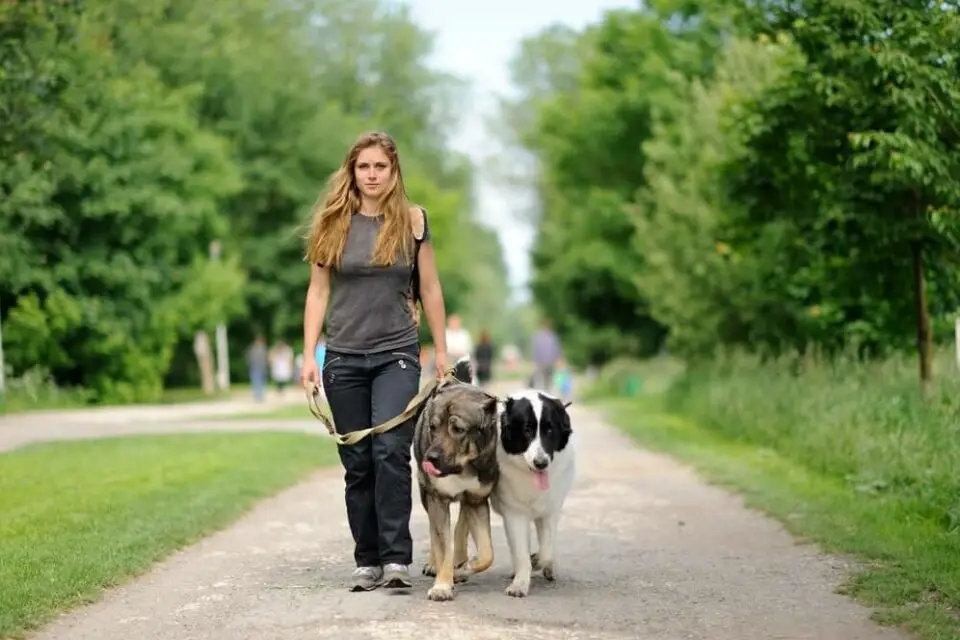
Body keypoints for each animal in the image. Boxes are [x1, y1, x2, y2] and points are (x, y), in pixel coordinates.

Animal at [414, 360, 502, 600]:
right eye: (433, 427)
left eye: (458, 429)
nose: (430, 458)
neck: (462, 467)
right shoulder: (436, 499)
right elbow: (443, 545)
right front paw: (442, 585)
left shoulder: (477, 500)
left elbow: (487, 553)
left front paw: (465, 567)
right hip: (426, 494)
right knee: (435, 532)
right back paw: (435, 565)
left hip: (468, 501)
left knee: (461, 525)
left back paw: (460, 562)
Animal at [492, 388, 572, 596]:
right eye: (526, 430)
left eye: (550, 430)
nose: (541, 463)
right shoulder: (514, 514)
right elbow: (520, 552)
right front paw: (519, 583)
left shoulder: (550, 510)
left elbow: (546, 549)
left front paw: (537, 560)